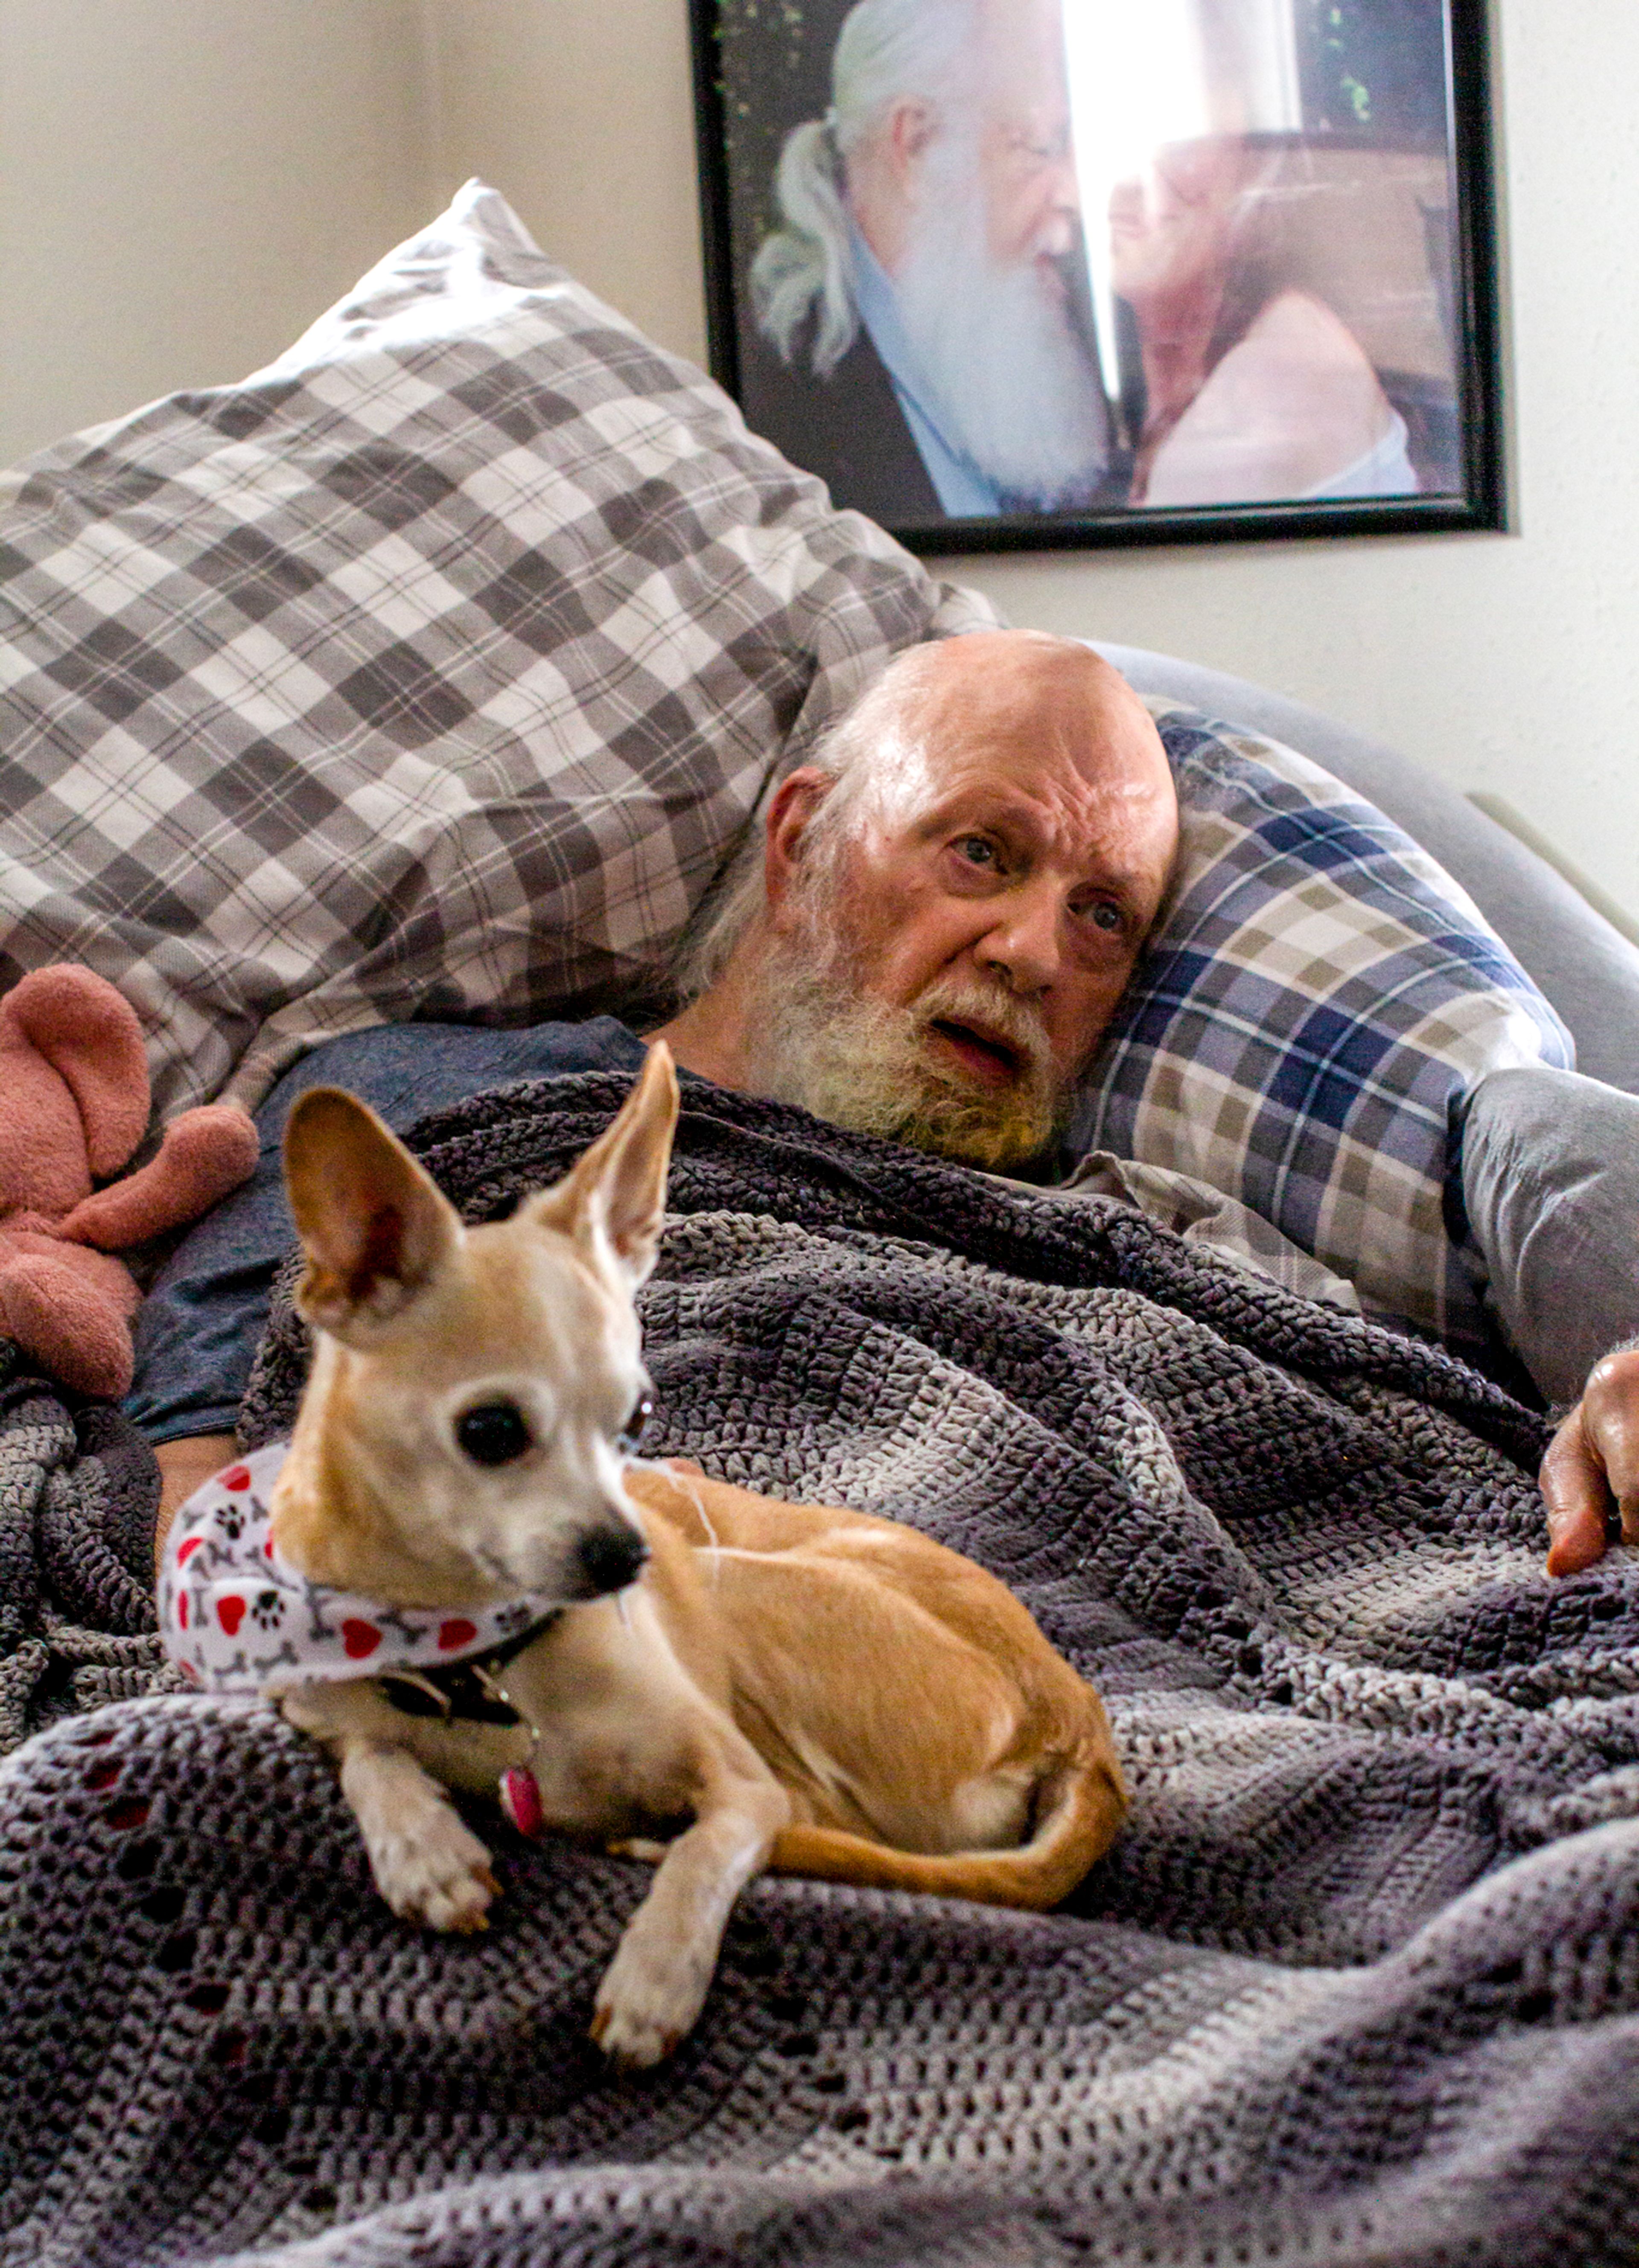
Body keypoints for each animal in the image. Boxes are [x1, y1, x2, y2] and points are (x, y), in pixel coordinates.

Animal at [262, 1052, 1126, 2068]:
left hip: (738, 1585)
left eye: (637, 1415)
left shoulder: (742, 1782)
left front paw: (656, 1975)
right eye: (491, 1431)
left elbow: (710, 1851)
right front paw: (422, 1846)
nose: (630, 1555)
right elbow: (366, 1747)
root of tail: (1080, 1722)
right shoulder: (308, 1700)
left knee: (823, 1828)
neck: (478, 1663)